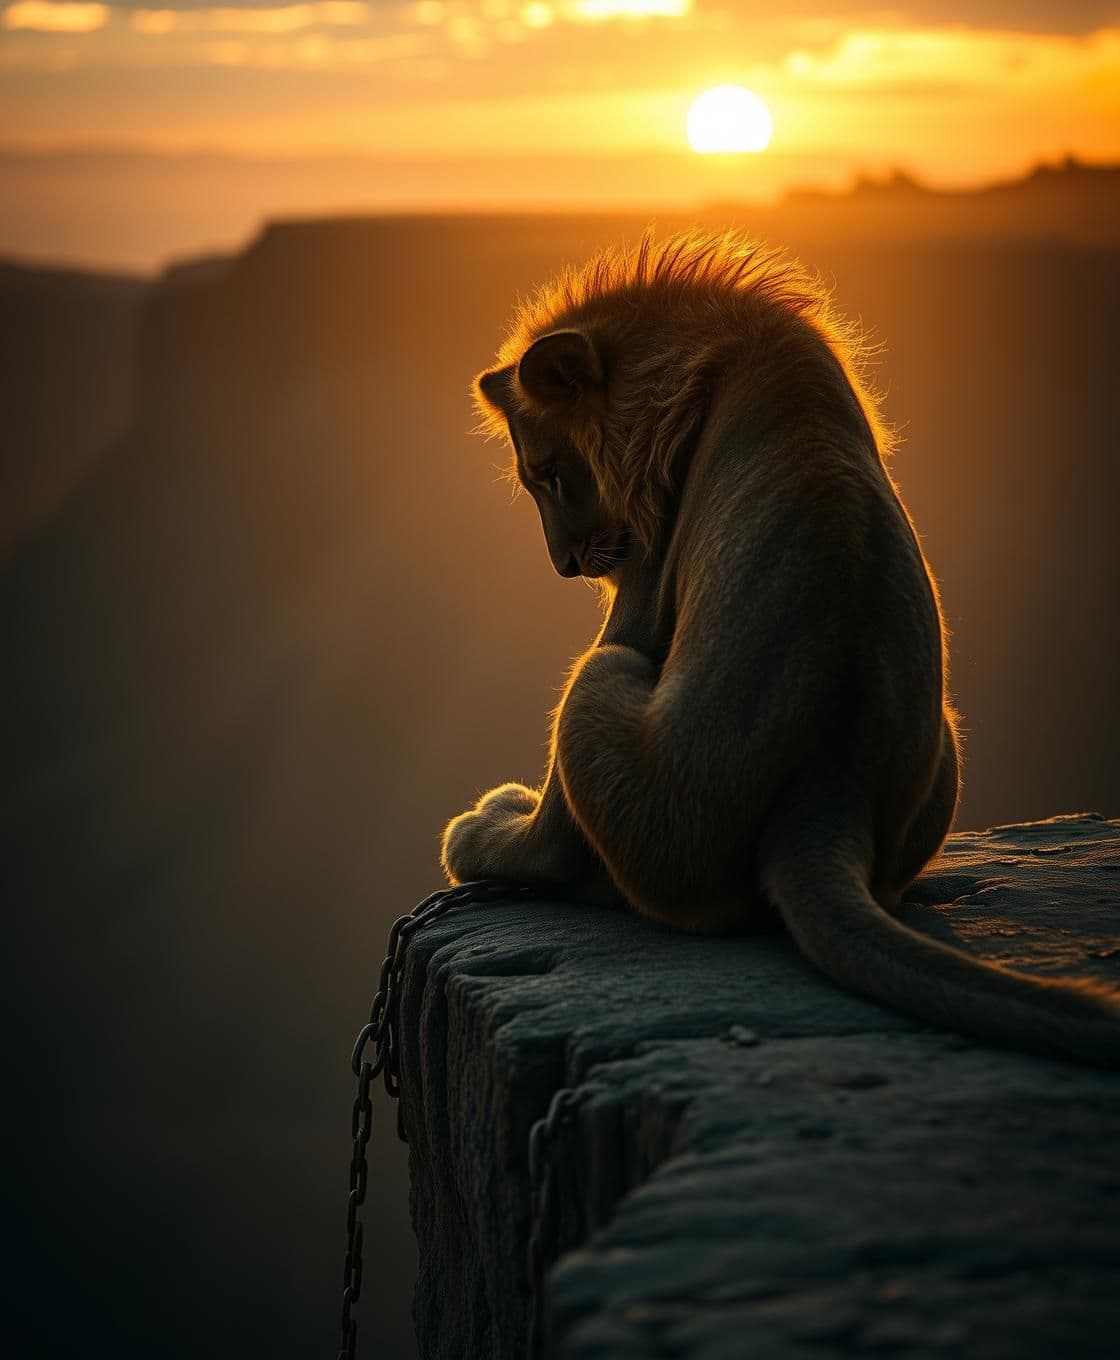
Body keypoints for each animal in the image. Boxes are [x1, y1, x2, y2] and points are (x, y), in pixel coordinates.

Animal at [442, 230, 1120, 1067]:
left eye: (546, 472)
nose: (565, 565)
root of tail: (828, 789)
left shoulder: (642, 580)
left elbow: (553, 830)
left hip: (601, 687)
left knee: (565, 849)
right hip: (943, 743)